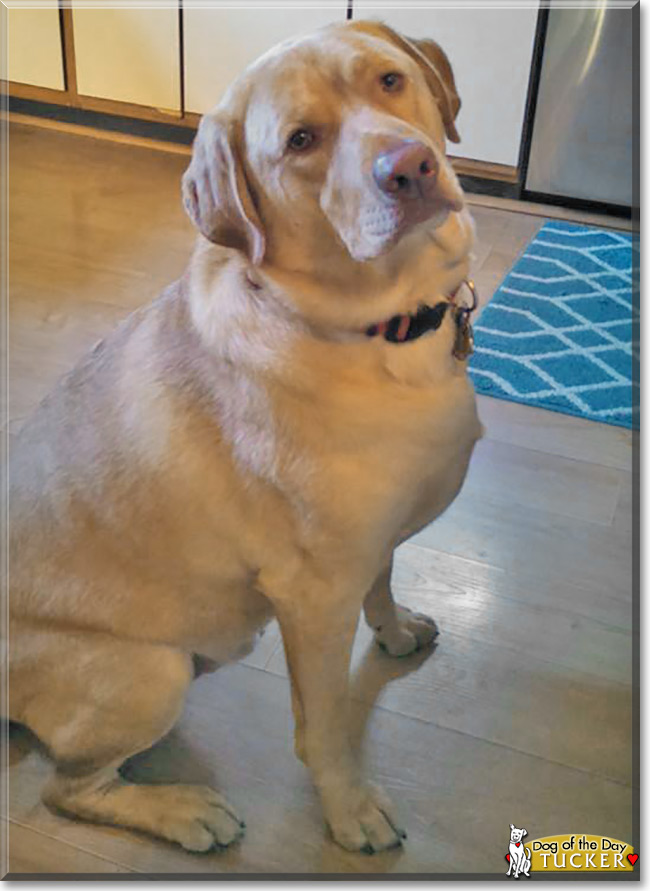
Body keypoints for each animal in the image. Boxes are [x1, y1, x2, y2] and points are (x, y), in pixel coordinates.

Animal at [6, 20, 480, 852]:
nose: (411, 167)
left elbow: (384, 578)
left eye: (389, 80)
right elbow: (323, 726)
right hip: (149, 675)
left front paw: (394, 629)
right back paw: (183, 810)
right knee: (65, 790)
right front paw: (348, 808)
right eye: (300, 140)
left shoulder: (370, 541)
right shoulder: (314, 594)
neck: (374, 330)